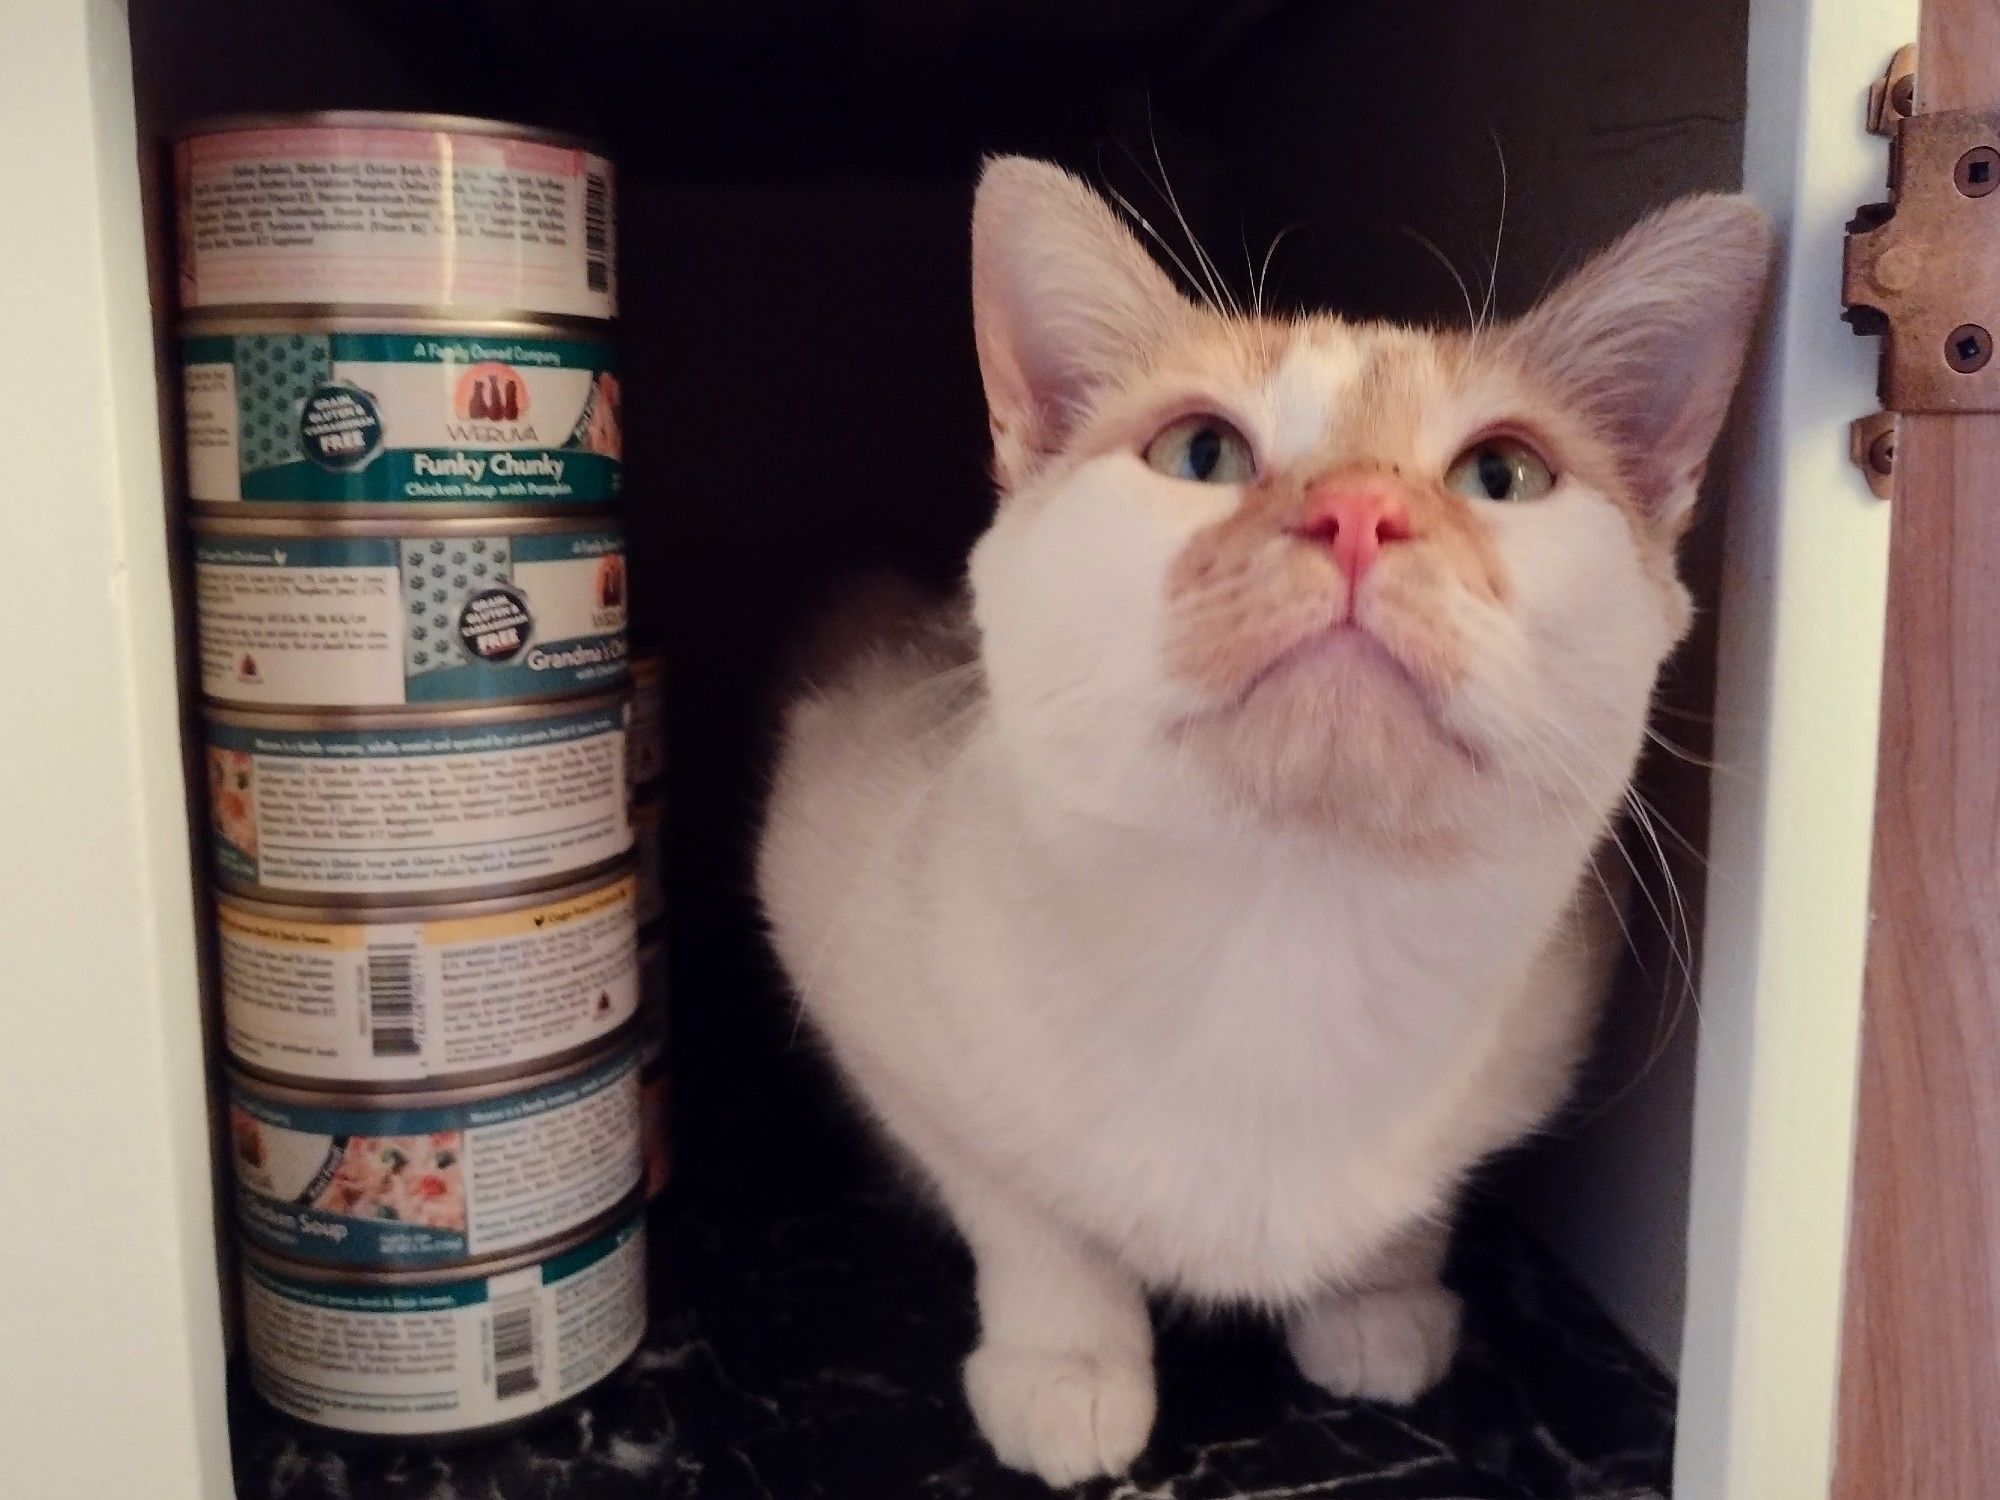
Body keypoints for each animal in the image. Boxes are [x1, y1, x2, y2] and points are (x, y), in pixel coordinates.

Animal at [756, 159, 1776, 1488]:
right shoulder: (852, 954)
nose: (1355, 513)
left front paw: (1376, 1300)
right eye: (1200, 453)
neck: (1291, 928)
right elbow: (1024, 1215)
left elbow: (1416, 1205)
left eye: (1501, 475)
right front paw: (1065, 1363)